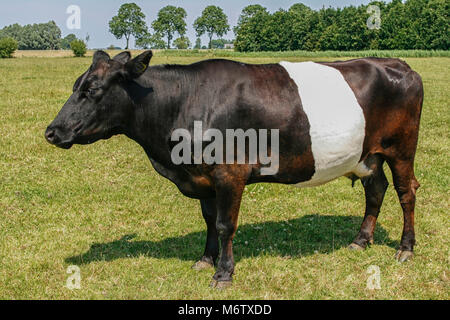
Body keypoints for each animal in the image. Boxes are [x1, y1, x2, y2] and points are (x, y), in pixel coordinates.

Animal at [47, 50, 424, 288]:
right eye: (75, 86)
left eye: (92, 90)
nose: (52, 131)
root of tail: (398, 63)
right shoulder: (202, 177)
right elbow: (209, 220)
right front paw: (206, 259)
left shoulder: (230, 173)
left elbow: (226, 224)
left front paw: (223, 274)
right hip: (368, 154)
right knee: (376, 190)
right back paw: (360, 241)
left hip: (402, 148)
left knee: (406, 192)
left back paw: (405, 249)